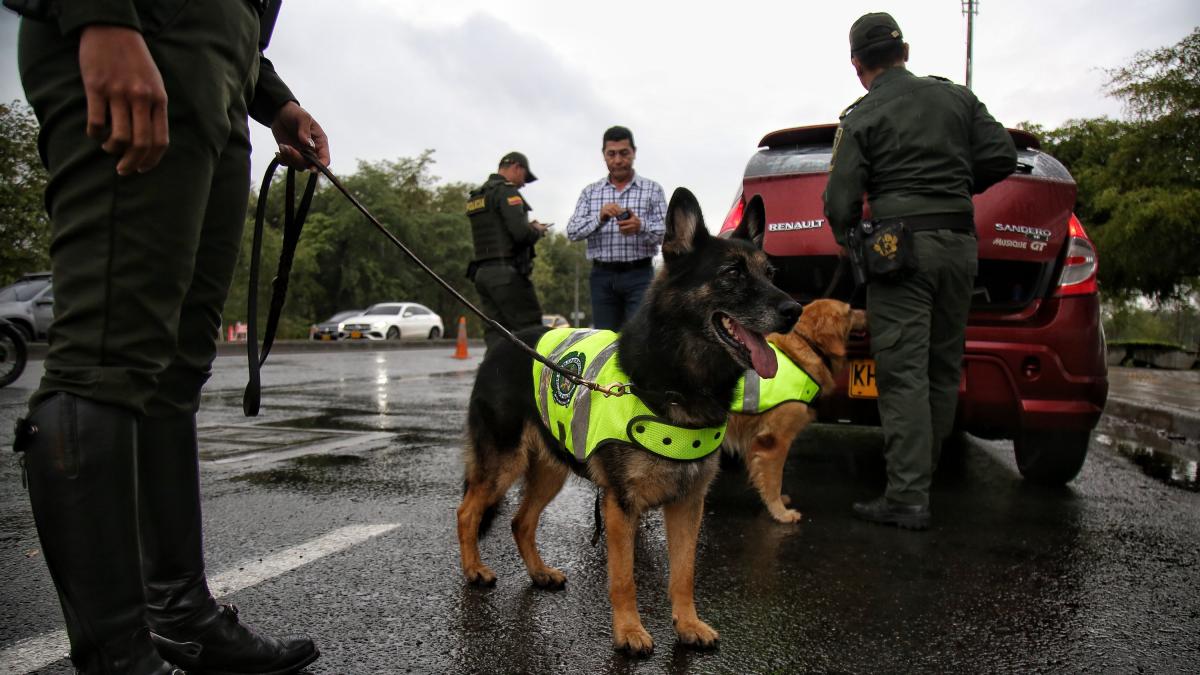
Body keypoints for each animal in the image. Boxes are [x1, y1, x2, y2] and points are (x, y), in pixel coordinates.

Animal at [453, 184, 801, 653]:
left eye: (771, 273)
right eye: (732, 273)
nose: (794, 310)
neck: (679, 379)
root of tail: (503, 342)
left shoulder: (688, 504)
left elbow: (684, 573)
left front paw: (687, 625)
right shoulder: (621, 506)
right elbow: (624, 579)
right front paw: (630, 631)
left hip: (550, 472)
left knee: (520, 521)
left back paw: (539, 573)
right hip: (502, 465)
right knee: (467, 512)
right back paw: (474, 569)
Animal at [720, 296, 864, 523]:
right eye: (850, 311)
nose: (867, 313)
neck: (808, 346)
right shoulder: (775, 442)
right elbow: (773, 480)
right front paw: (780, 512)